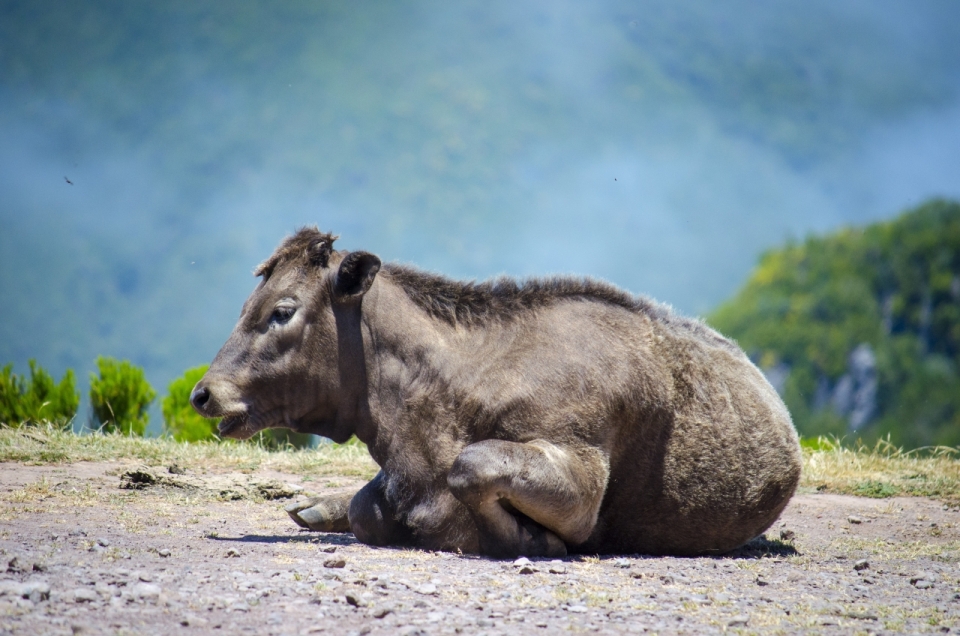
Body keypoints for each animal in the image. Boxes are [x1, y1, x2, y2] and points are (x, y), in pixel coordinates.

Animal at [189, 229, 804, 556]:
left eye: (281, 311)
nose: (203, 394)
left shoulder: (580, 468)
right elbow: (368, 506)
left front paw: (535, 541)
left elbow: (473, 465)